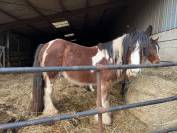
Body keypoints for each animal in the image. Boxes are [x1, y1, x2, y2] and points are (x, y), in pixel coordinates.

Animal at [30, 25, 160, 125]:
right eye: (130, 47)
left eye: (145, 48)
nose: (134, 71)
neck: (111, 57)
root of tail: (46, 44)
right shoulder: (104, 83)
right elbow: (103, 100)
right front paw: (105, 120)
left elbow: (105, 100)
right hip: (50, 76)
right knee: (48, 92)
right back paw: (51, 112)